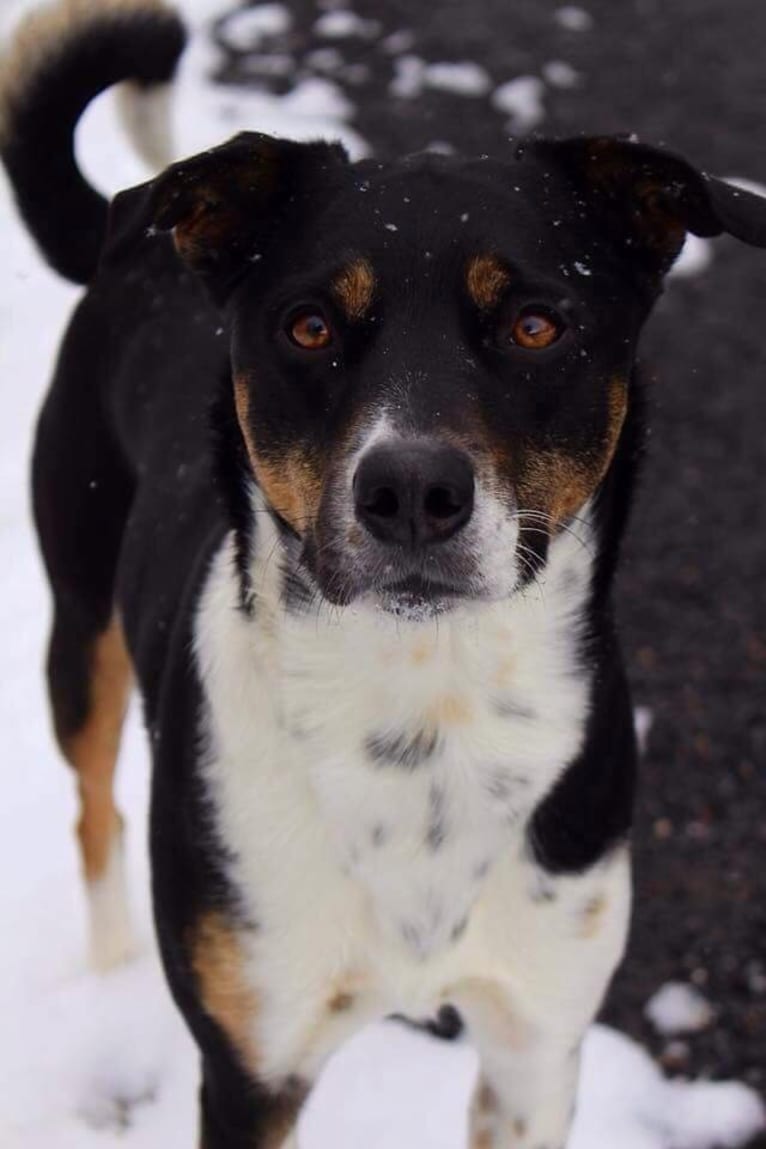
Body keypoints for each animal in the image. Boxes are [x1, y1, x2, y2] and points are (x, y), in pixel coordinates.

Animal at [1, 2, 766, 1149]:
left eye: (536, 324)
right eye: (309, 325)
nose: (409, 491)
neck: (424, 704)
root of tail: (133, 245)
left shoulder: (535, 1046)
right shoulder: (250, 1062)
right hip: (79, 621)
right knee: (96, 810)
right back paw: (108, 970)